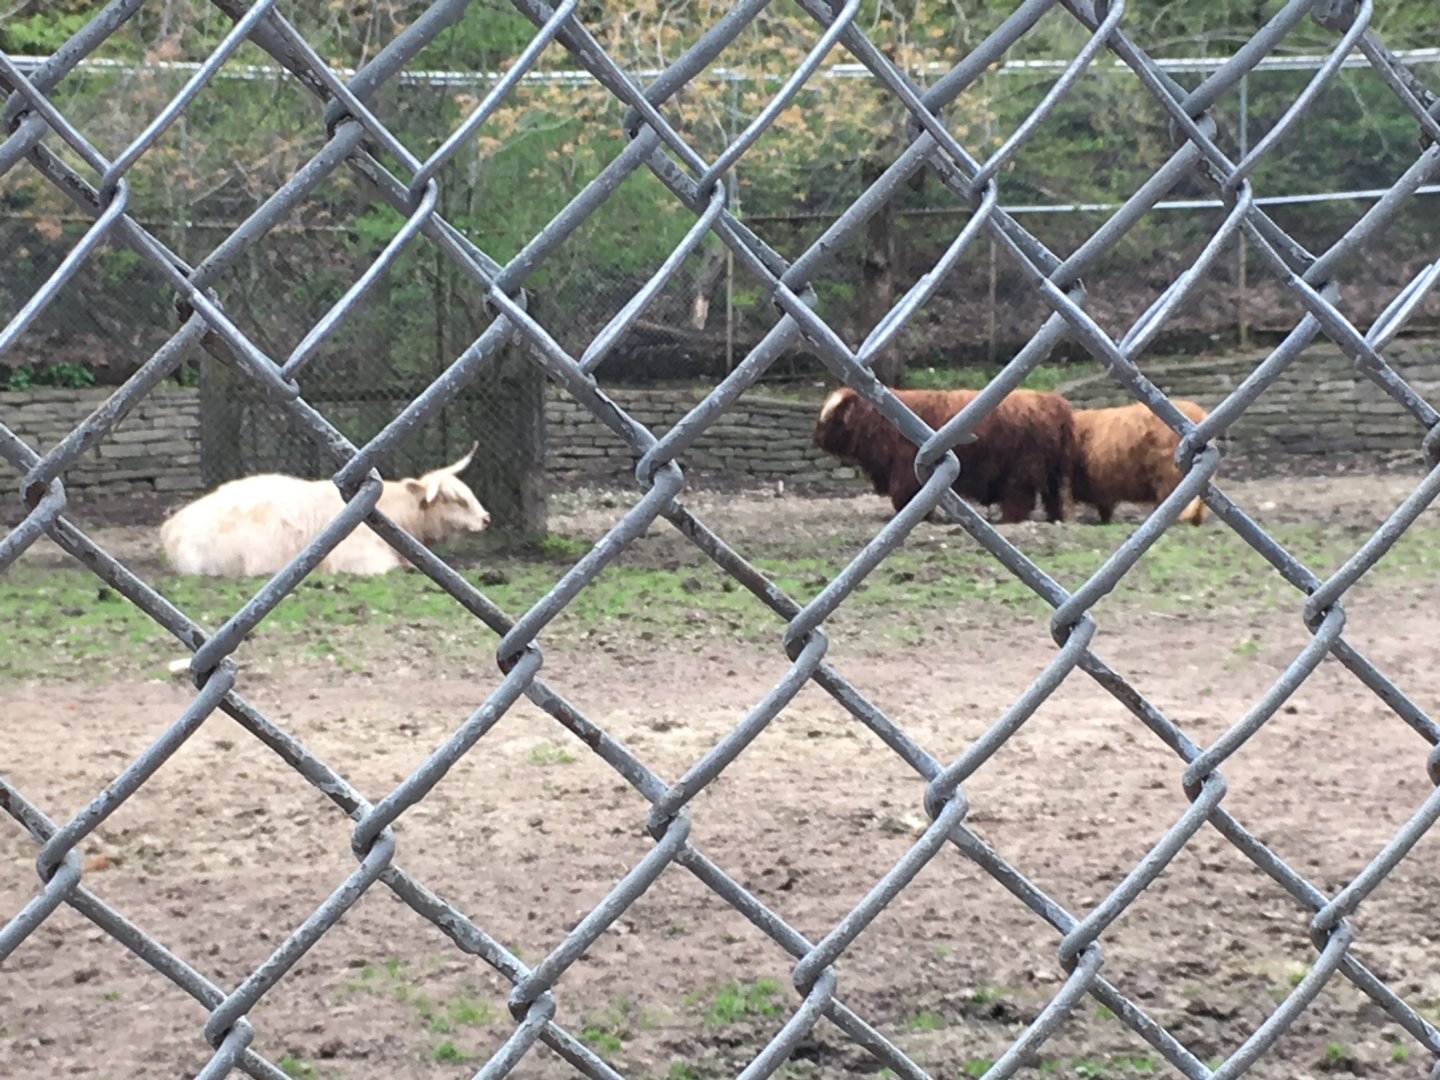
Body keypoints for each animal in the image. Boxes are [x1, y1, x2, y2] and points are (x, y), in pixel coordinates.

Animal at [812, 386, 1076, 523]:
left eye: (830, 418)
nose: (816, 439)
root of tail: (1053, 401)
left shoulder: (907, 472)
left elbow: (908, 498)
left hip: (1022, 472)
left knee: (1018, 501)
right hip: (1053, 474)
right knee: (1053, 500)